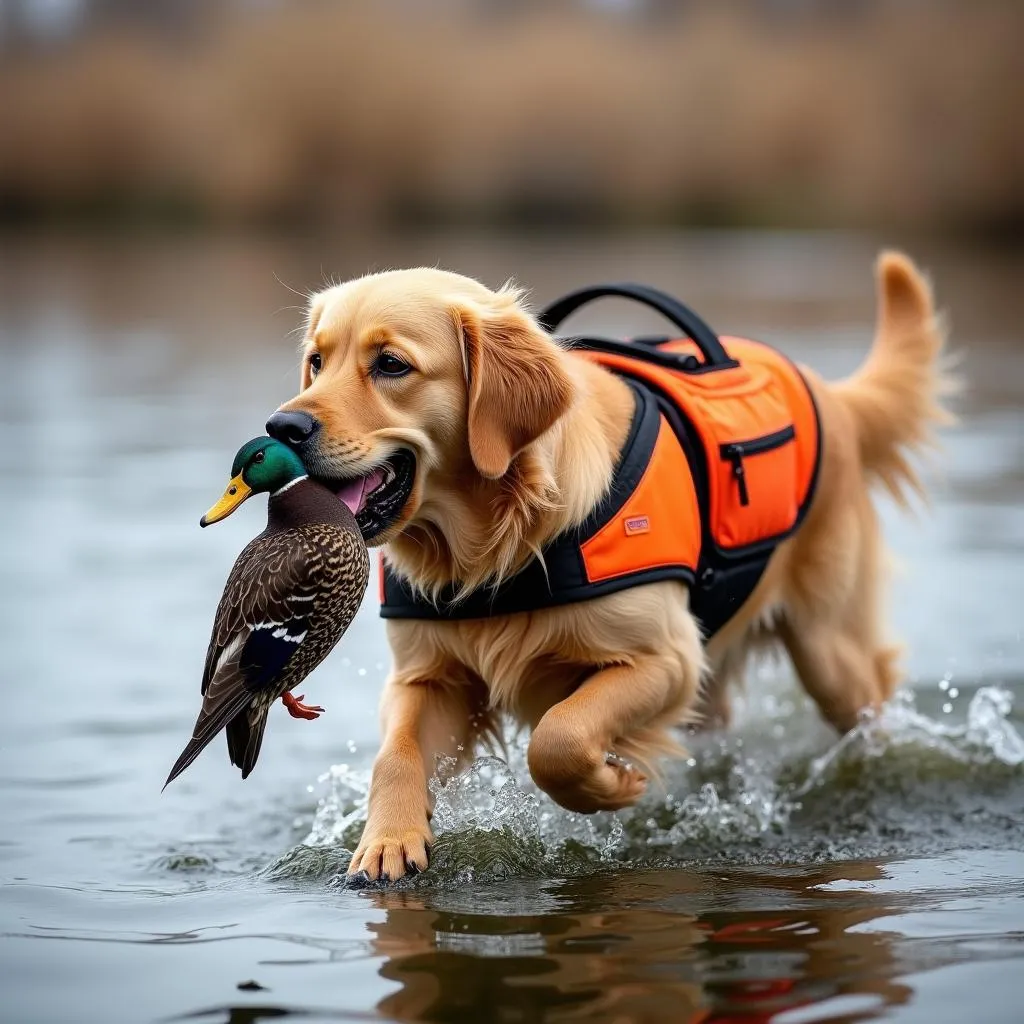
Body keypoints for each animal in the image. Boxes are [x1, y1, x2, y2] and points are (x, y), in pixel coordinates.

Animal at [268, 249, 946, 880]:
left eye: (390, 364)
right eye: (316, 361)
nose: (283, 424)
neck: (499, 544)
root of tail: (828, 392)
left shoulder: (668, 659)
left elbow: (560, 736)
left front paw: (612, 786)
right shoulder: (428, 675)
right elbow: (396, 754)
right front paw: (387, 841)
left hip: (830, 653)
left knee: (865, 710)